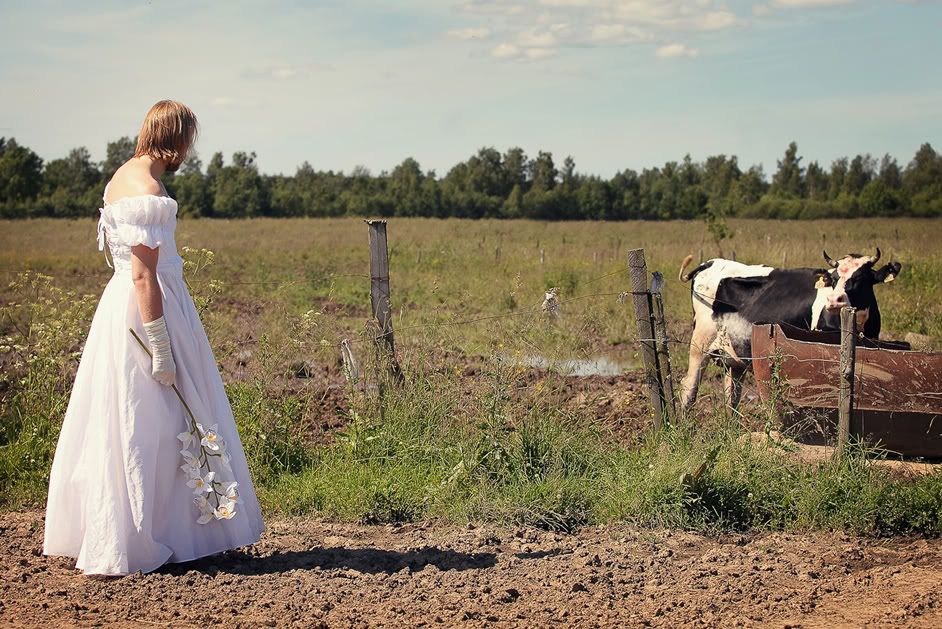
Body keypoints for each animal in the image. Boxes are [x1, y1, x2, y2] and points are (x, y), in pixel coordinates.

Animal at [676, 248, 904, 410]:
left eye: (861, 278)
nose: (833, 301)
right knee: (688, 388)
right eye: (834, 279)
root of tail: (711, 262)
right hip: (700, 344)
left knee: (731, 397)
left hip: (733, 354)